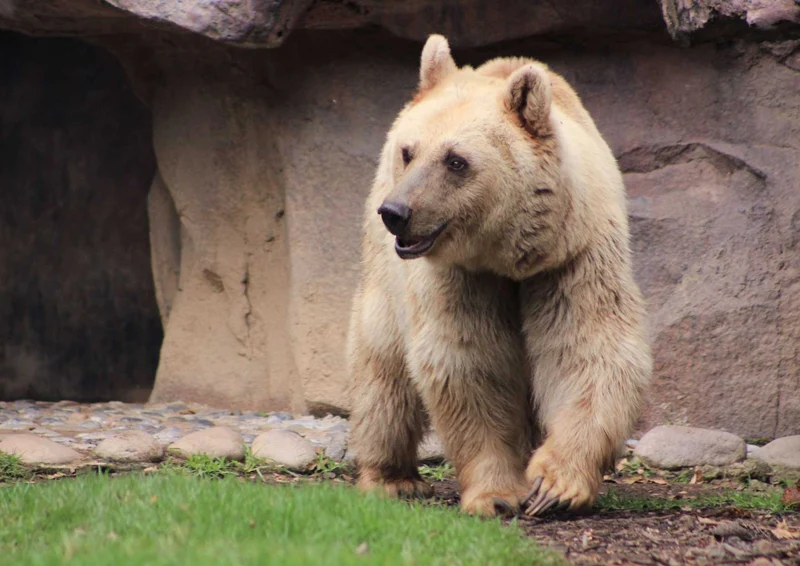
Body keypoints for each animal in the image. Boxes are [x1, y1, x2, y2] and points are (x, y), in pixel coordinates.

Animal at [347, 34, 652, 517]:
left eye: (456, 160)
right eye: (409, 152)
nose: (396, 213)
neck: (511, 255)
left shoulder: (574, 257)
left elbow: (589, 348)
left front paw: (553, 487)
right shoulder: (458, 275)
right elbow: (470, 361)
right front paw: (497, 495)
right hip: (384, 274)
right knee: (383, 366)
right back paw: (391, 477)